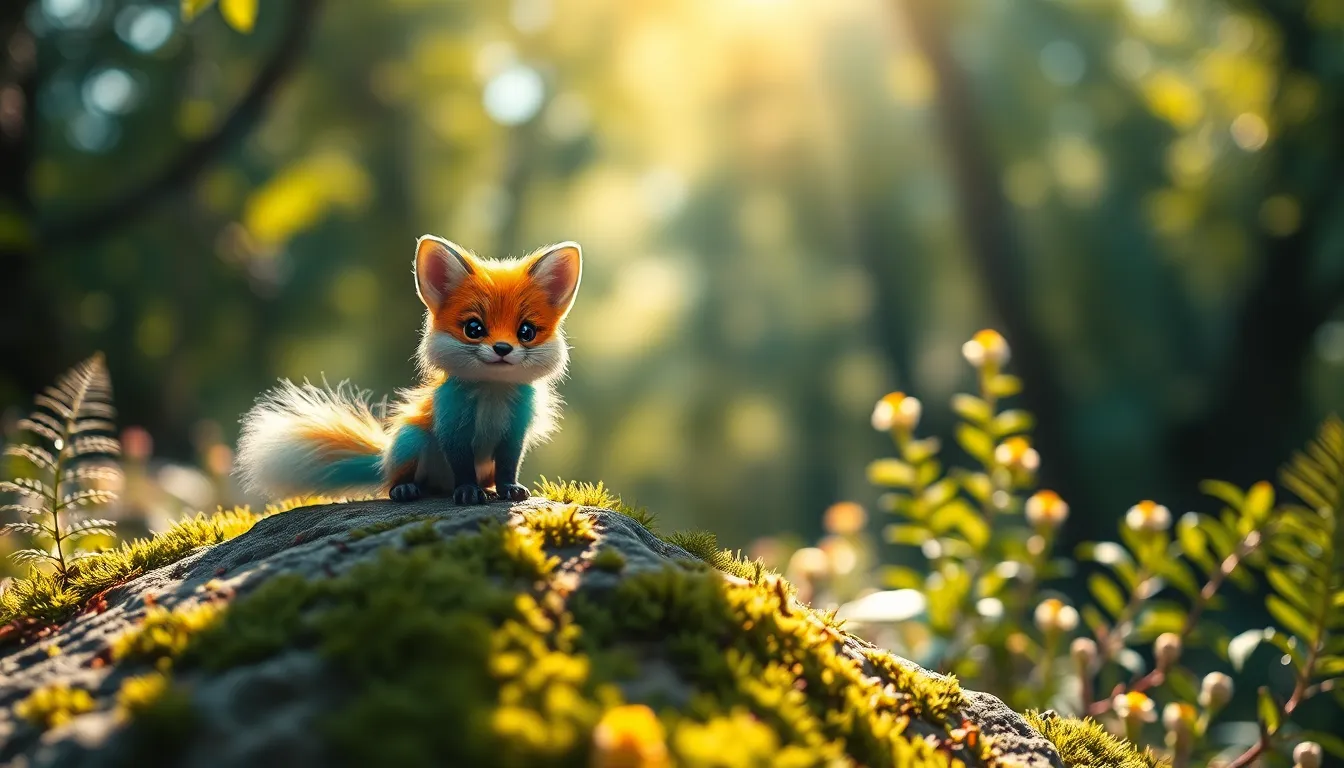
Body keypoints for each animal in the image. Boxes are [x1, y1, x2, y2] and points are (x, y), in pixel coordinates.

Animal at [235, 236, 582, 505]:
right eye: (474, 328)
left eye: (526, 332)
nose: (502, 349)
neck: (491, 397)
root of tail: (383, 458)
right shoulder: (452, 428)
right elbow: (463, 467)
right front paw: (468, 493)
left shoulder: (514, 433)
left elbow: (508, 466)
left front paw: (509, 489)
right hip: (412, 439)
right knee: (396, 481)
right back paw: (406, 489)